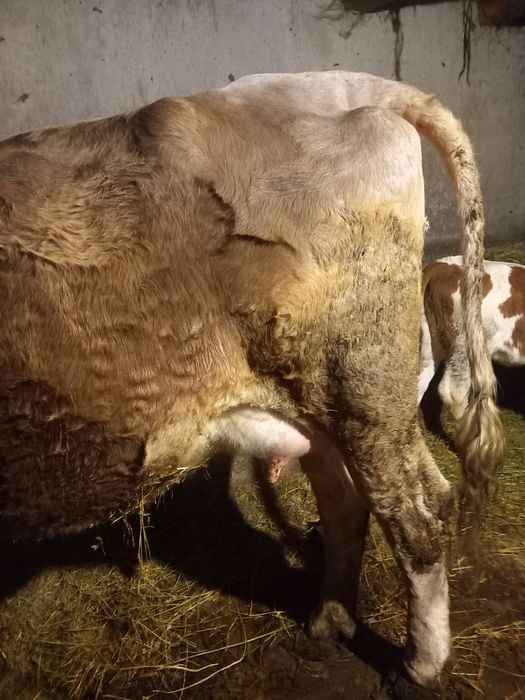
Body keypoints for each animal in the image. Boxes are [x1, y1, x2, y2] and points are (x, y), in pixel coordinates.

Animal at [0, 71, 504, 687]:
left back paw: (418, 668)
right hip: (314, 402)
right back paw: (327, 622)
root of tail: (337, 88)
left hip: (364, 387)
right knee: (345, 503)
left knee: (420, 514)